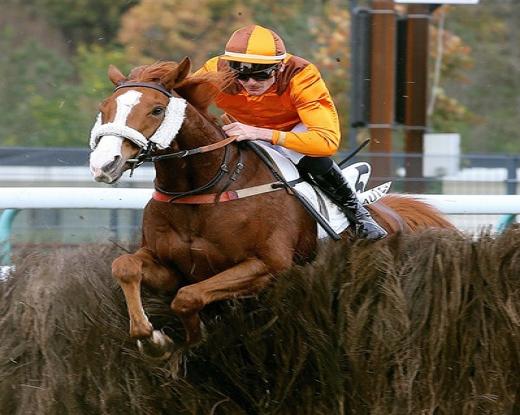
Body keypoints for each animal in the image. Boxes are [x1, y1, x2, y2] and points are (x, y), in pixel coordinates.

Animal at [88, 58, 450, 358]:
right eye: (104, 108)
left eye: (157, 110)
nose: (105, 164)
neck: (203, 190)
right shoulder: (170, 265)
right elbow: (125, 267)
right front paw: (152, 338)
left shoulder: (267, 266)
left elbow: (188, 297)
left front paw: (191, 335)